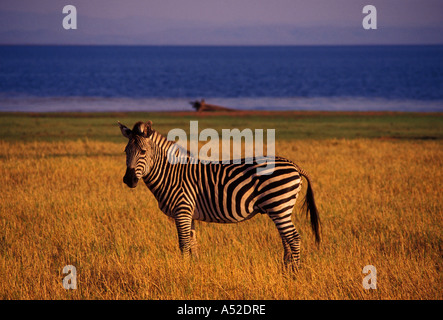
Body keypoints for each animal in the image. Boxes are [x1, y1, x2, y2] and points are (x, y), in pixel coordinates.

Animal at [117, 120, 320, 270]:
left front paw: (183, 271)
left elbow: (183, 244)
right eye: (126, 151)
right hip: (281, 209)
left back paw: (295, 273)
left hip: (279, 205)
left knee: (293, 238)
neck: (172, 174)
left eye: (143, 151)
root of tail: (295, 166)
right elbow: (193, 243)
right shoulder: (189, 214)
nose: (128, 180)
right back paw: (285, 270)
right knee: (286, 239)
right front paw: (195, 269)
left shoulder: (182, 210)